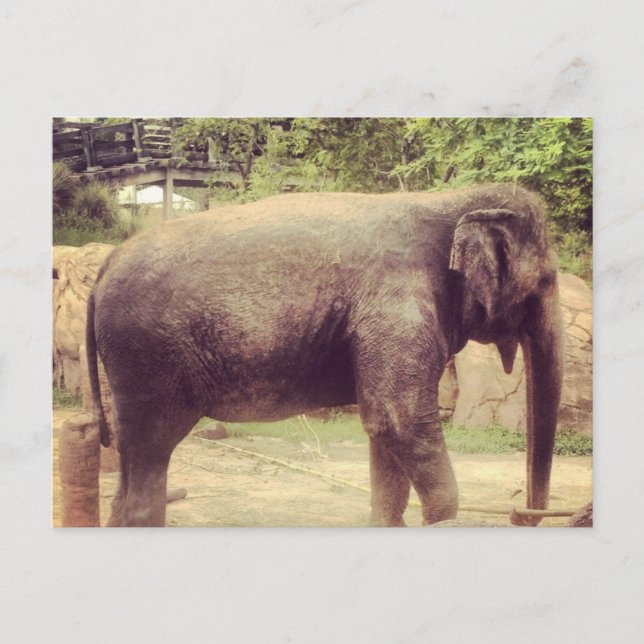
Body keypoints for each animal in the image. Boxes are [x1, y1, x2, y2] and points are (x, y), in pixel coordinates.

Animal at [86, 184, 564, 527]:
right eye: (547, 279)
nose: (521, 513)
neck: (449, 199)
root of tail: (105, 266)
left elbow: (380, 427)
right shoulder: (396, 305)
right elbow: (398, 419)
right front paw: (443, 519)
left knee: (130, 460)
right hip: (147, 359)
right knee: (152, 454)